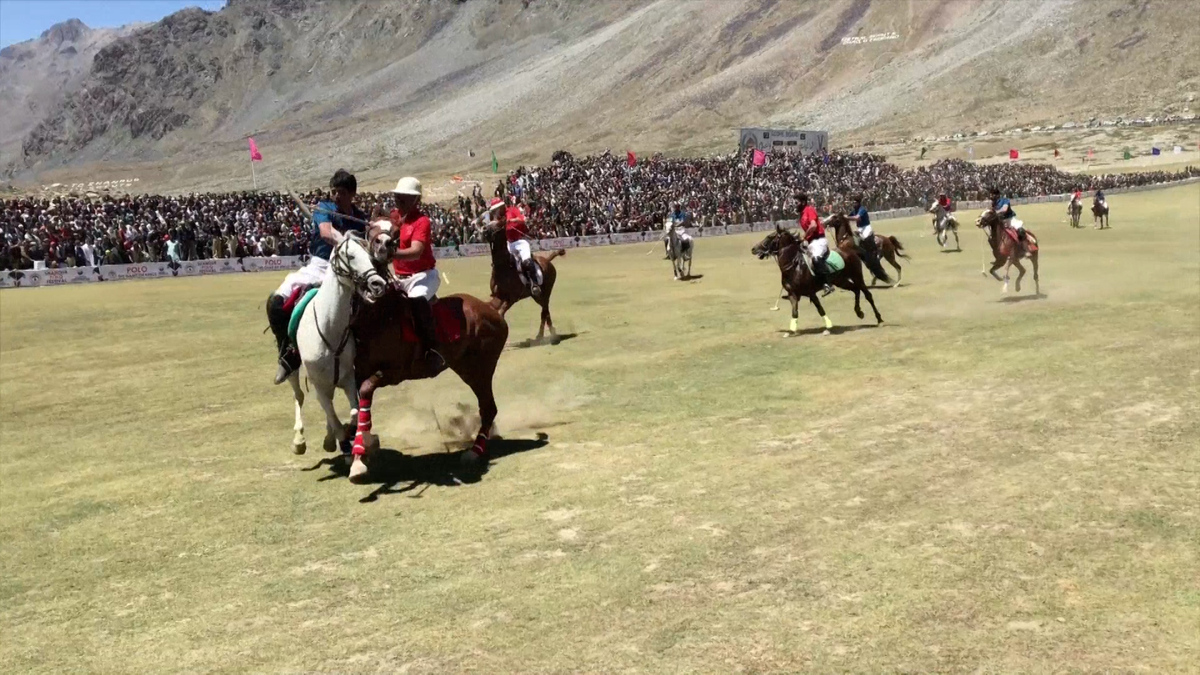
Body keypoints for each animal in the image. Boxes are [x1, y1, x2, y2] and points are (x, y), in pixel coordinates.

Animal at [288, 234, 386, 454]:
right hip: (293, 369)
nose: (378, 284)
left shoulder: (348, 377)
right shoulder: (318, 383)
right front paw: (343, 439)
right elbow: (332, 413)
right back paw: (299, 440)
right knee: (299, 395)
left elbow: (354, 411)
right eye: (350, 256)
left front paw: (354, 434)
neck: (328, 329)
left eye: (369, 256)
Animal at [348, 285, 506, 480]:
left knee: (488, 408)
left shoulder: (394, 373)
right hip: (465, 367)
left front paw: (361, 453)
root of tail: (491, 308)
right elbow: (359, 406)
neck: (378, 318)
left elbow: (366, 390)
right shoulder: (360, 372)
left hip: (479, 370)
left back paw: (474, 452)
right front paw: (359, 457)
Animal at [748, 223, 883, 333]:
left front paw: (828, 327)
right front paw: (791, 330)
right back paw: (859, 312)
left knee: (867, 294)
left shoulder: (811, 292)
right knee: (855, 290)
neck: (793, 265)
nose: (753, 249)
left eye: (769, 237)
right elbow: (795, 312)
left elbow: (820, 309)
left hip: (856, 276)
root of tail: (851, 250)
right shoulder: (793, 294)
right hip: (841, 281)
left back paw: (879, 319)